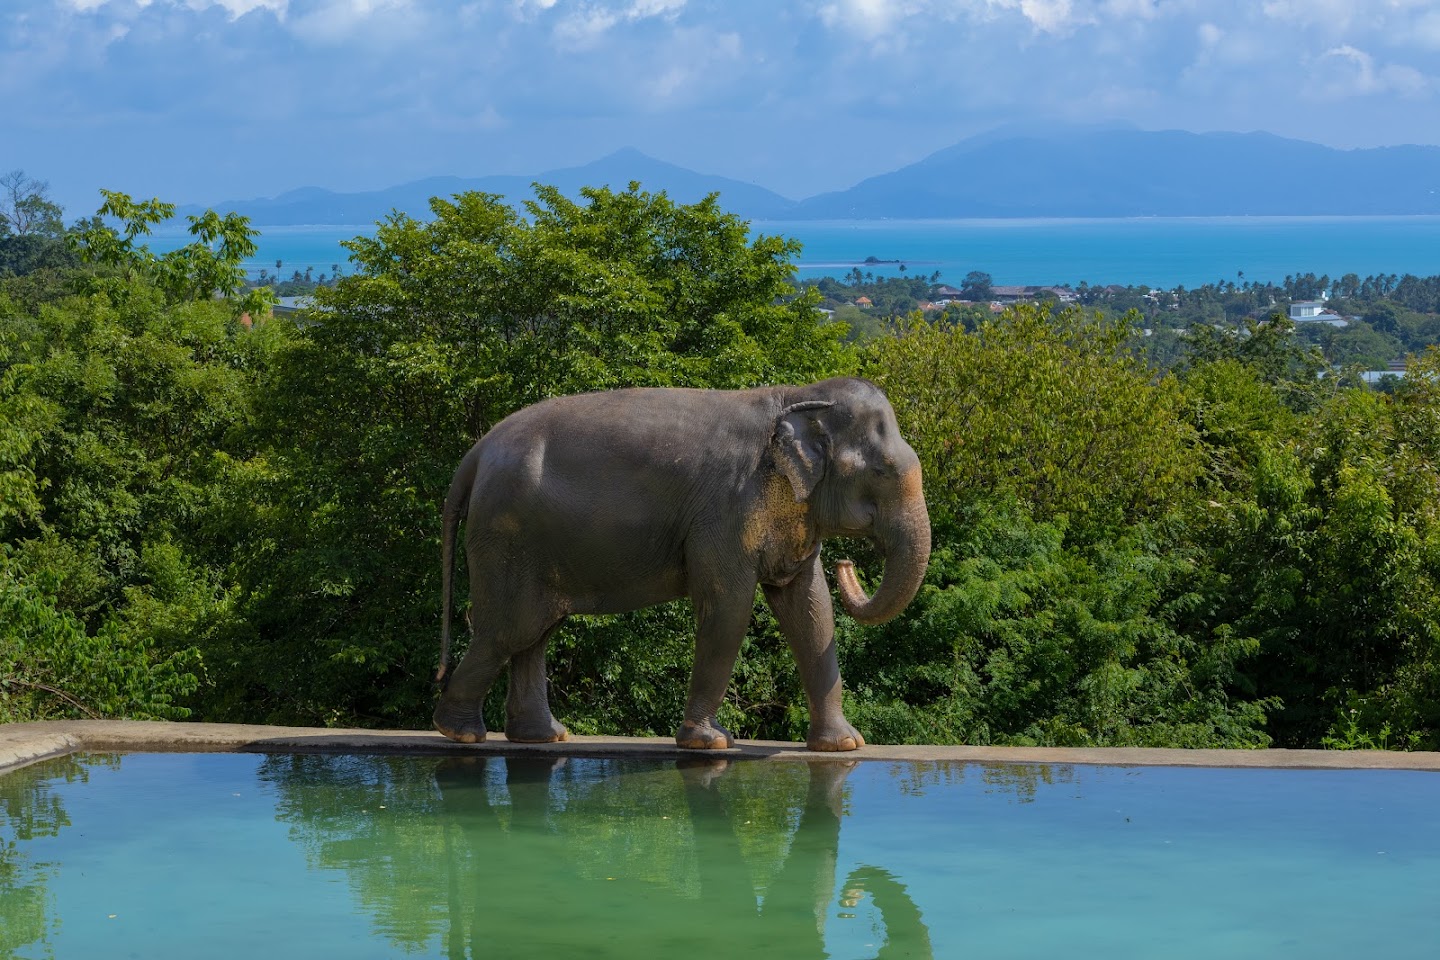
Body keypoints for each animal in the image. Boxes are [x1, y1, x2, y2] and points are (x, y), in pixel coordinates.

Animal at [432, 376, 931, 751]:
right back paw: (461, 733)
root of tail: (478, 452)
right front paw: (710, 743)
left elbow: (810, 608)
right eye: (881, 472)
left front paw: (844, 745)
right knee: (508, 629)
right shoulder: (725, 511)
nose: (848, 564)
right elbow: (729, 609)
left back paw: (542, 737)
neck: (798, 394)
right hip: (506, 535)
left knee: (534, 632)